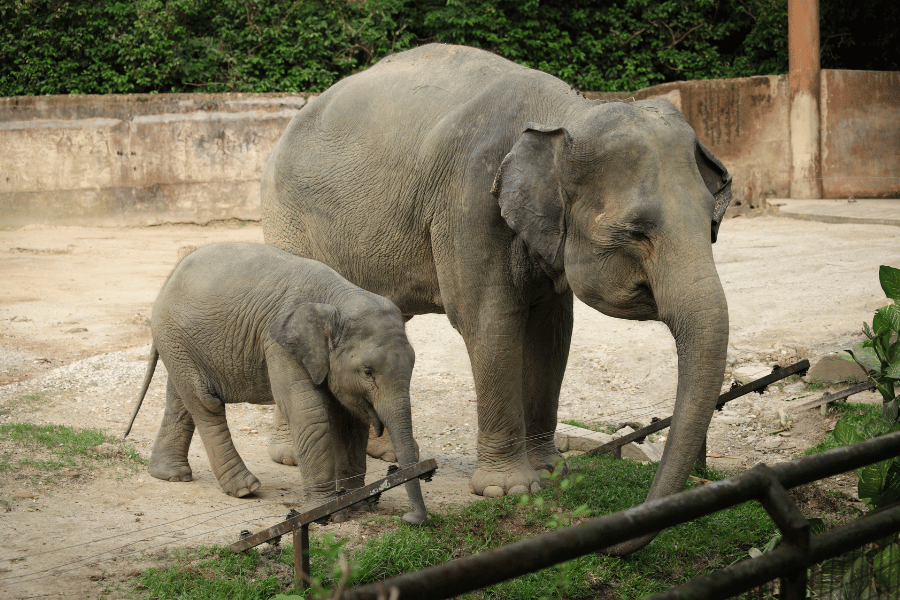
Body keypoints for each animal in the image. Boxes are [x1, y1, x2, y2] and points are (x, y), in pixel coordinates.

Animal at [124, 242, 428, 526]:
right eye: (367, 372)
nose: (410, 519)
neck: (339, 297)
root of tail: (169, 277)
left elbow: (351, 420)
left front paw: (357, 504)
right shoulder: (280, 345)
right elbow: (308, 412)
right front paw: (325, 514)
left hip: (181, 344)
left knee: (181, 398)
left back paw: (171, 475)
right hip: (174, 336)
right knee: (205, 403)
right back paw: (245, 489)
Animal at [261, 44, 732, 552]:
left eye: (712, 224)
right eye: (635, 232)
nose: (609, 539)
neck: (567, 114)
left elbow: (552, 332)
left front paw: (552, 472)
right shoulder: (469, 203)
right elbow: (491, 322)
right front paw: (508, 489)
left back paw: (387, 453)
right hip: (286, 219)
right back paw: (290, 456)